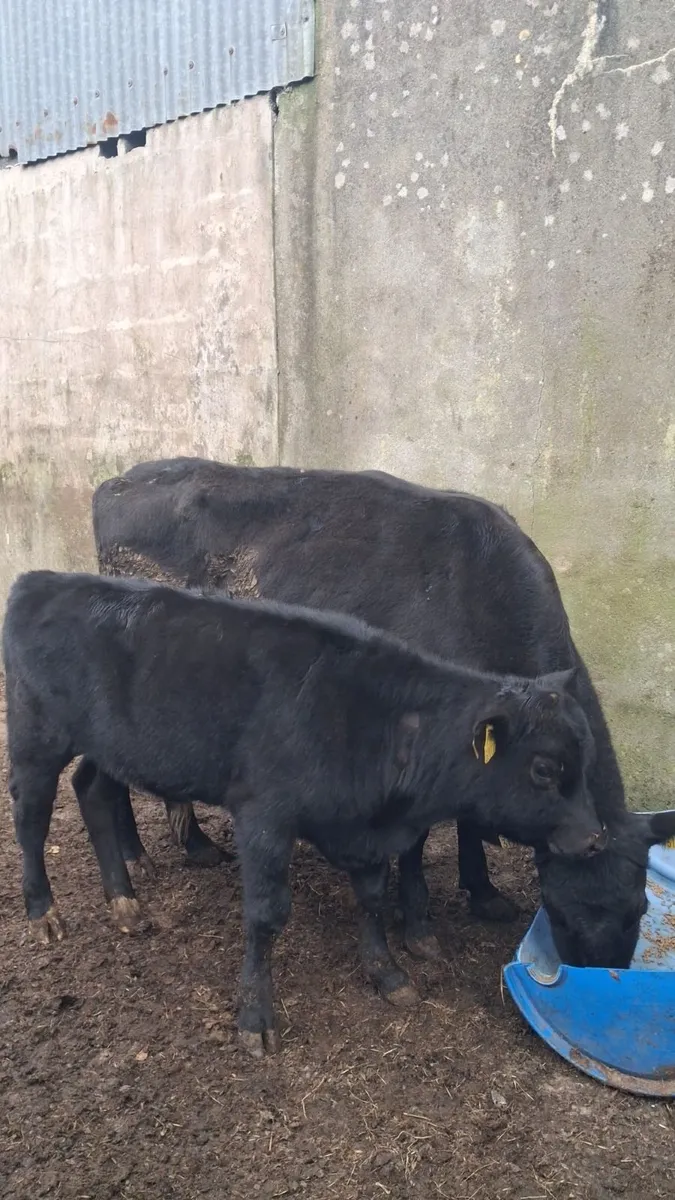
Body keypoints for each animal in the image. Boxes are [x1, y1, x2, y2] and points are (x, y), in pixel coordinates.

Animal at [5, 570, 607, 1055]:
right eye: (545, 769)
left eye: (584, 759)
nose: (594, 838)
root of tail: (43, 578)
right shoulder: (264, 817)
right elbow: (266, 915)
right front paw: (255, 1017)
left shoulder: (367, 829)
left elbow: (371, 897)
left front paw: (387, 973)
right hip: (37, 734)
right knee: (31, 814)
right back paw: (43, 912)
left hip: (112, 745)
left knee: (93, 791)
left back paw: (124, 902)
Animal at [90, 458, 675, 970]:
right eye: (561, 909)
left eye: (639, 909)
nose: (602, 976)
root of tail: (124, 478)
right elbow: (415, 843)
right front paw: (418, 927)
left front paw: (482, 891)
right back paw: (135, 868)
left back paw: (183, 845)